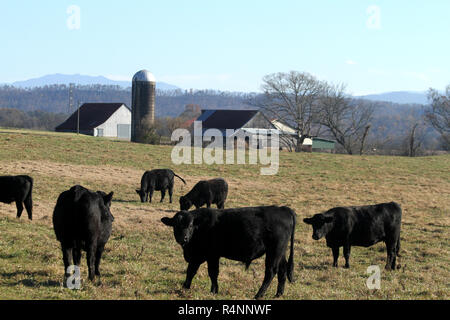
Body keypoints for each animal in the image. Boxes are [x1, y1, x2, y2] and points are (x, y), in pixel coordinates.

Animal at [161, 206, 296, 298]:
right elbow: (191, 271)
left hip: (274, 251)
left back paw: (258, 295)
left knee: (271, 272)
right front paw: (185, 288)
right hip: (281, 252)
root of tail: (283, 208)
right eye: (175, 226)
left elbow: (212, 273)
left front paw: (214, 291)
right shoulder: (197, 256)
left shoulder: (211, 255)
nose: (183, 238)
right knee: (282, 270)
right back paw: (278, 294)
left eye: (190, 226)